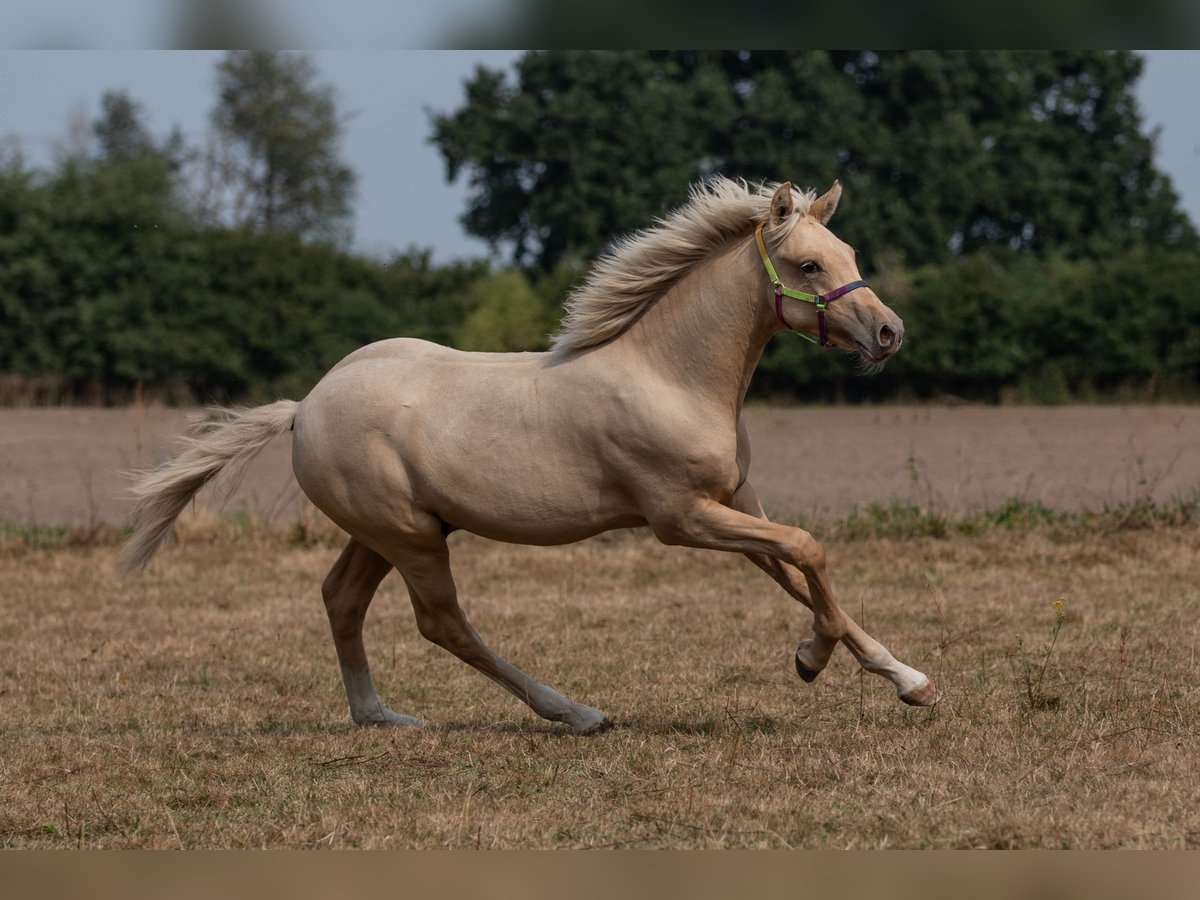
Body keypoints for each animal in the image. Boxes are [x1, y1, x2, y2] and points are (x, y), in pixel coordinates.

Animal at [124, 176, 945, 734]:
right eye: (807, 266)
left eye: (847, 252)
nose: (890, 333)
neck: (669, 375)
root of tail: (304, 409)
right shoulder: (681, 519)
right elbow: (808, 551)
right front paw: (811, 660)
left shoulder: (735, 503)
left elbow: (800, 571)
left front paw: (910, 680)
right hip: (410, 536)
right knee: (442, 624)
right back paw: (576, 712)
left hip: (387, 533)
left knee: (341, 599)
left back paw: (379, 715)